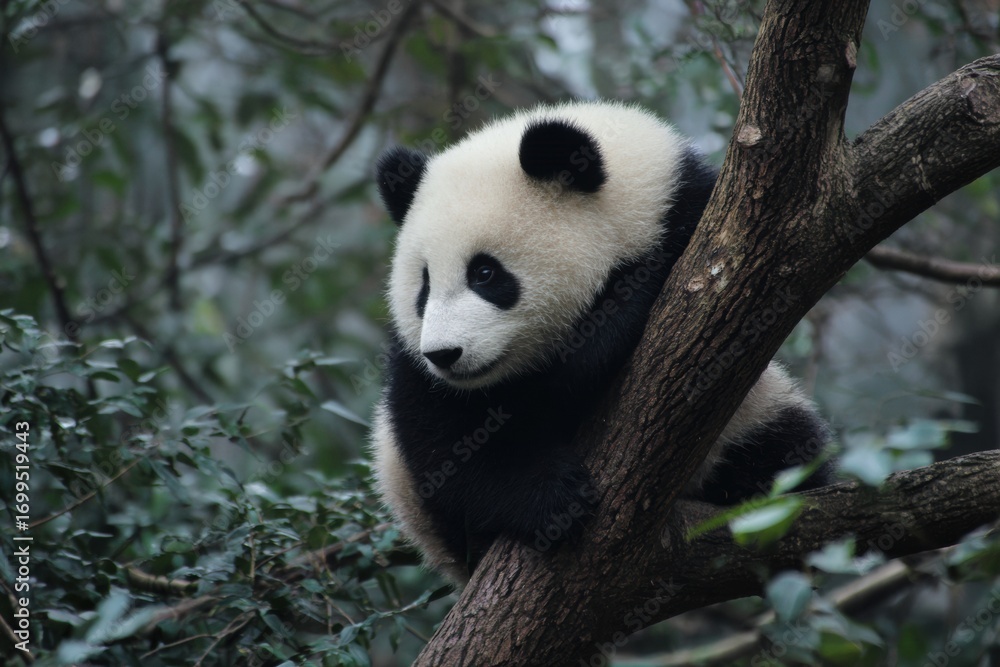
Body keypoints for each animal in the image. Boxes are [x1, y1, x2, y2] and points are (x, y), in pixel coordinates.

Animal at [370, 100, 833, 585]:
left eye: (484, 273)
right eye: (423, 286)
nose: (444, 355)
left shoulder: (715, 229)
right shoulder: (416, 368)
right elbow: (443, 441)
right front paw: (554, 498)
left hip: (755, 417)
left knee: (785, 451)